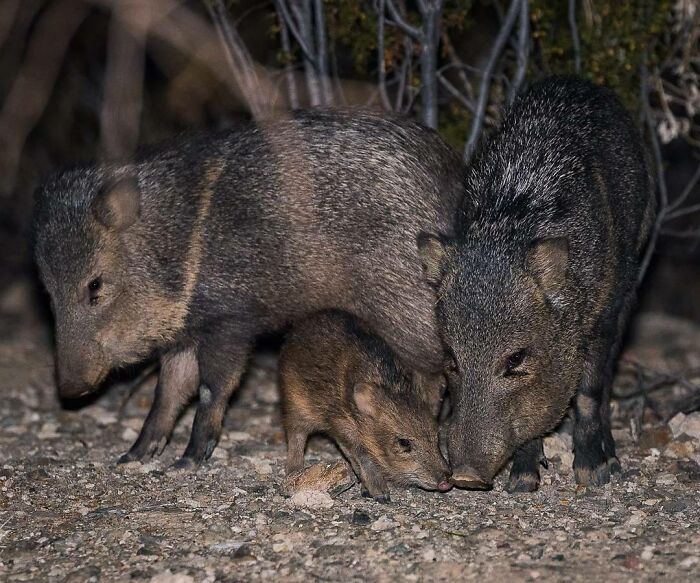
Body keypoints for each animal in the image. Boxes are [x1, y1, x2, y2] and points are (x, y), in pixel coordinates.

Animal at [33, 109, 465, 468]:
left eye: (95, 285)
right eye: (48, 295)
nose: (69, 391)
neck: (180, 243)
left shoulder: (231, 322)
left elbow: (212, 389)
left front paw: (189, 460)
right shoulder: (186, 331)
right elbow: (167, 393)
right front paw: (135, 455)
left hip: (402, 307)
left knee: (433, 373)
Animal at [279, 311, 452, 502]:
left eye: (437, 436)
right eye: (404, 443)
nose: (447, 483)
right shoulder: (342, 427)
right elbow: (363, 456)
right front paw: (381, 494)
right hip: (295, 406)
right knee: (296, 436)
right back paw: (294, 472)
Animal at [418, 76, 655, 491]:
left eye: (515, 359)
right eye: (452, 359)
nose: (464, 476)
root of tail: (580, 82)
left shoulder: (602, 315)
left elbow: (589, 393)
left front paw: (593, 473)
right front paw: (523, 479)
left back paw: (611, 455)